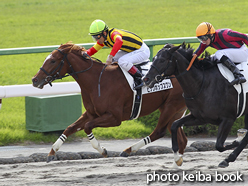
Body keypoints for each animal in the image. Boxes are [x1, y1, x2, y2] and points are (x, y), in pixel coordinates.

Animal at [32, 42, 188, 163]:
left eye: (52, 61)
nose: (35, 80)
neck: (96, 81)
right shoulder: (91, 113)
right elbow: (69, 128)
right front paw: (52, 152)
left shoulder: (114, 117)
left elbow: (87, 127)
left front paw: (102, 150)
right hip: (174, 110)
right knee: (180, 137)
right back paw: (178, 160)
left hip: (171, 106)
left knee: (159, 131)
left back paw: (127, 150)